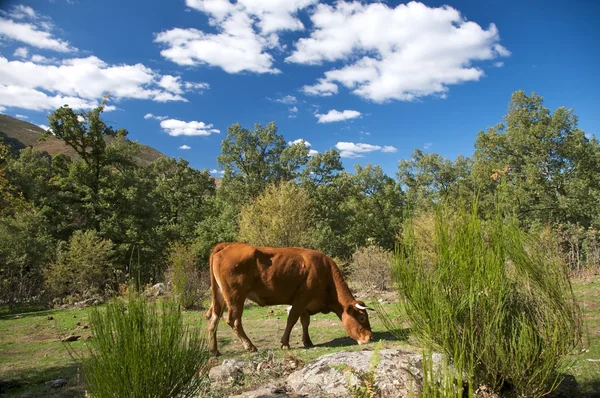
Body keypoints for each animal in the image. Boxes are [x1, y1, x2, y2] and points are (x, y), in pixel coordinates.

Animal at [207, 241, 376, 356]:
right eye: (362, 318)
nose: (370, 337)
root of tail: (228, 245)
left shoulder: (305, 303)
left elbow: (305, 321)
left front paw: (307, 341)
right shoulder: (301, 298)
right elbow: (292, 319)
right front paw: (285, 343)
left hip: (221, 297)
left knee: (213, 319)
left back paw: (214, 350)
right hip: (236, 297)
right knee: (233, 321)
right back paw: (250, 346)